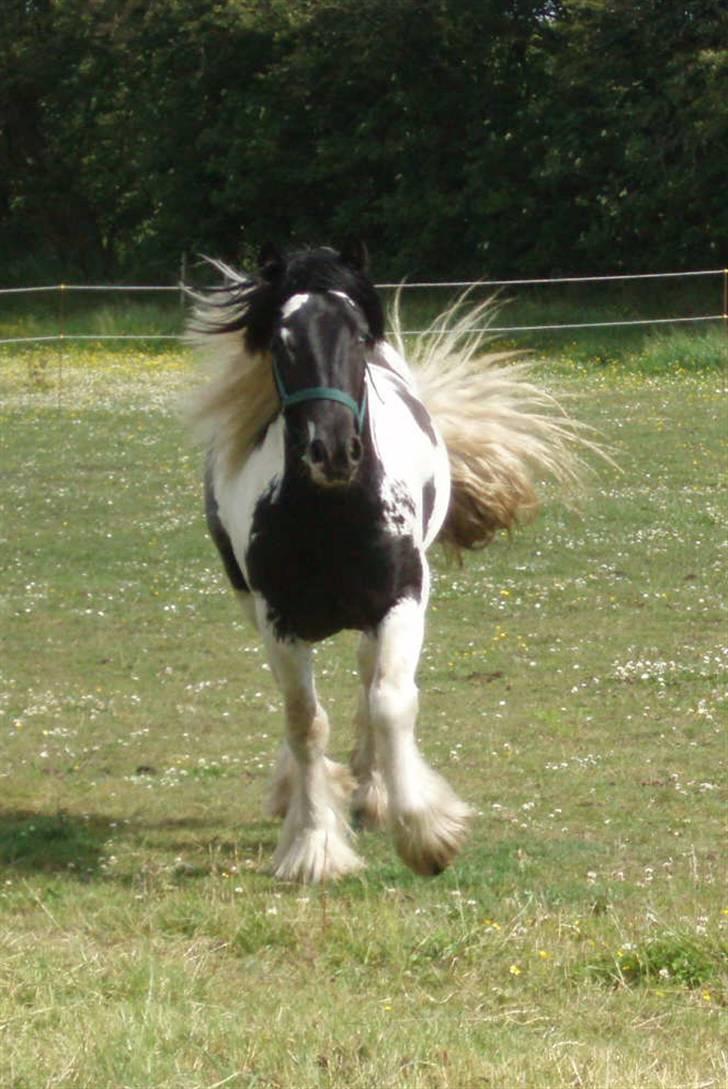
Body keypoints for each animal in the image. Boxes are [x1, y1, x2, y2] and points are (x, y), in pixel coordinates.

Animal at [189, 242, 591, 879]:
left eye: (357, 336)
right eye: (282, 340)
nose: (332, 451)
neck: (332, 518)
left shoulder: (402, 602)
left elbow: (391, 701)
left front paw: (425, 834)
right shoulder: (277, 621)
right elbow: (304, 721)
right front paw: (314, 843)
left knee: (367, 675)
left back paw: (373, 790)